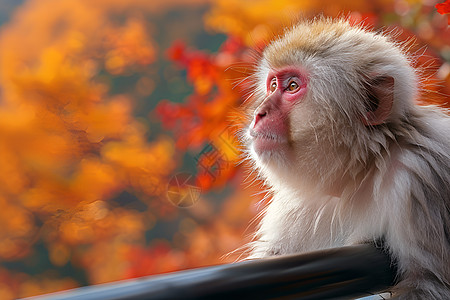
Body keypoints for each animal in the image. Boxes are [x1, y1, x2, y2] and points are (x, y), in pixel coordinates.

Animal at [243, 17, 450, 298]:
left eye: (292, 86)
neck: (359, 173)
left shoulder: (418, 178)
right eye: (273, 85)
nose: (259, 113)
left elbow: (427, 282)